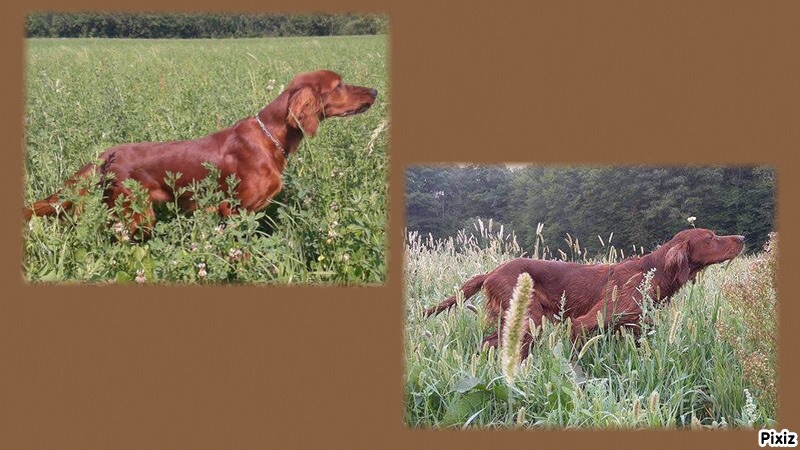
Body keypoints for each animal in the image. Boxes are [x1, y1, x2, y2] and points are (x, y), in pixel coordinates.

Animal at [21, 70, 378, 232]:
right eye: (339, 85)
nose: (375, 90)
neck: (271, 137)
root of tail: (105, 155)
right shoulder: (235, 210)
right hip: (136, 213)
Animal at [424, 229, 744, 356]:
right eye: (710, 237)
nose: (742, 237)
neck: (651, 272)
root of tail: (491, 272)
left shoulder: (634, 328)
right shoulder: (584, 323)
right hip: (529, 319)